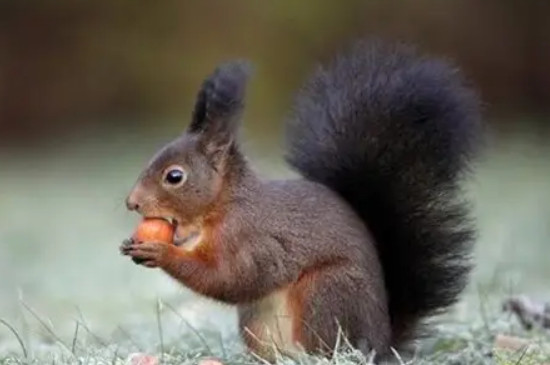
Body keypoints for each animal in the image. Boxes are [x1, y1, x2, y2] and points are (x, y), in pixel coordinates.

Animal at [121, 39, 484, 358]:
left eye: (174, 176)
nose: (132, 203)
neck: (222, 210)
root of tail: (382, 344)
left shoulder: (256, 240)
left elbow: (231, 278)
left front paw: (161, 253)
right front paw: (133, 245)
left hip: (326, 293)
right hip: (258, 322)